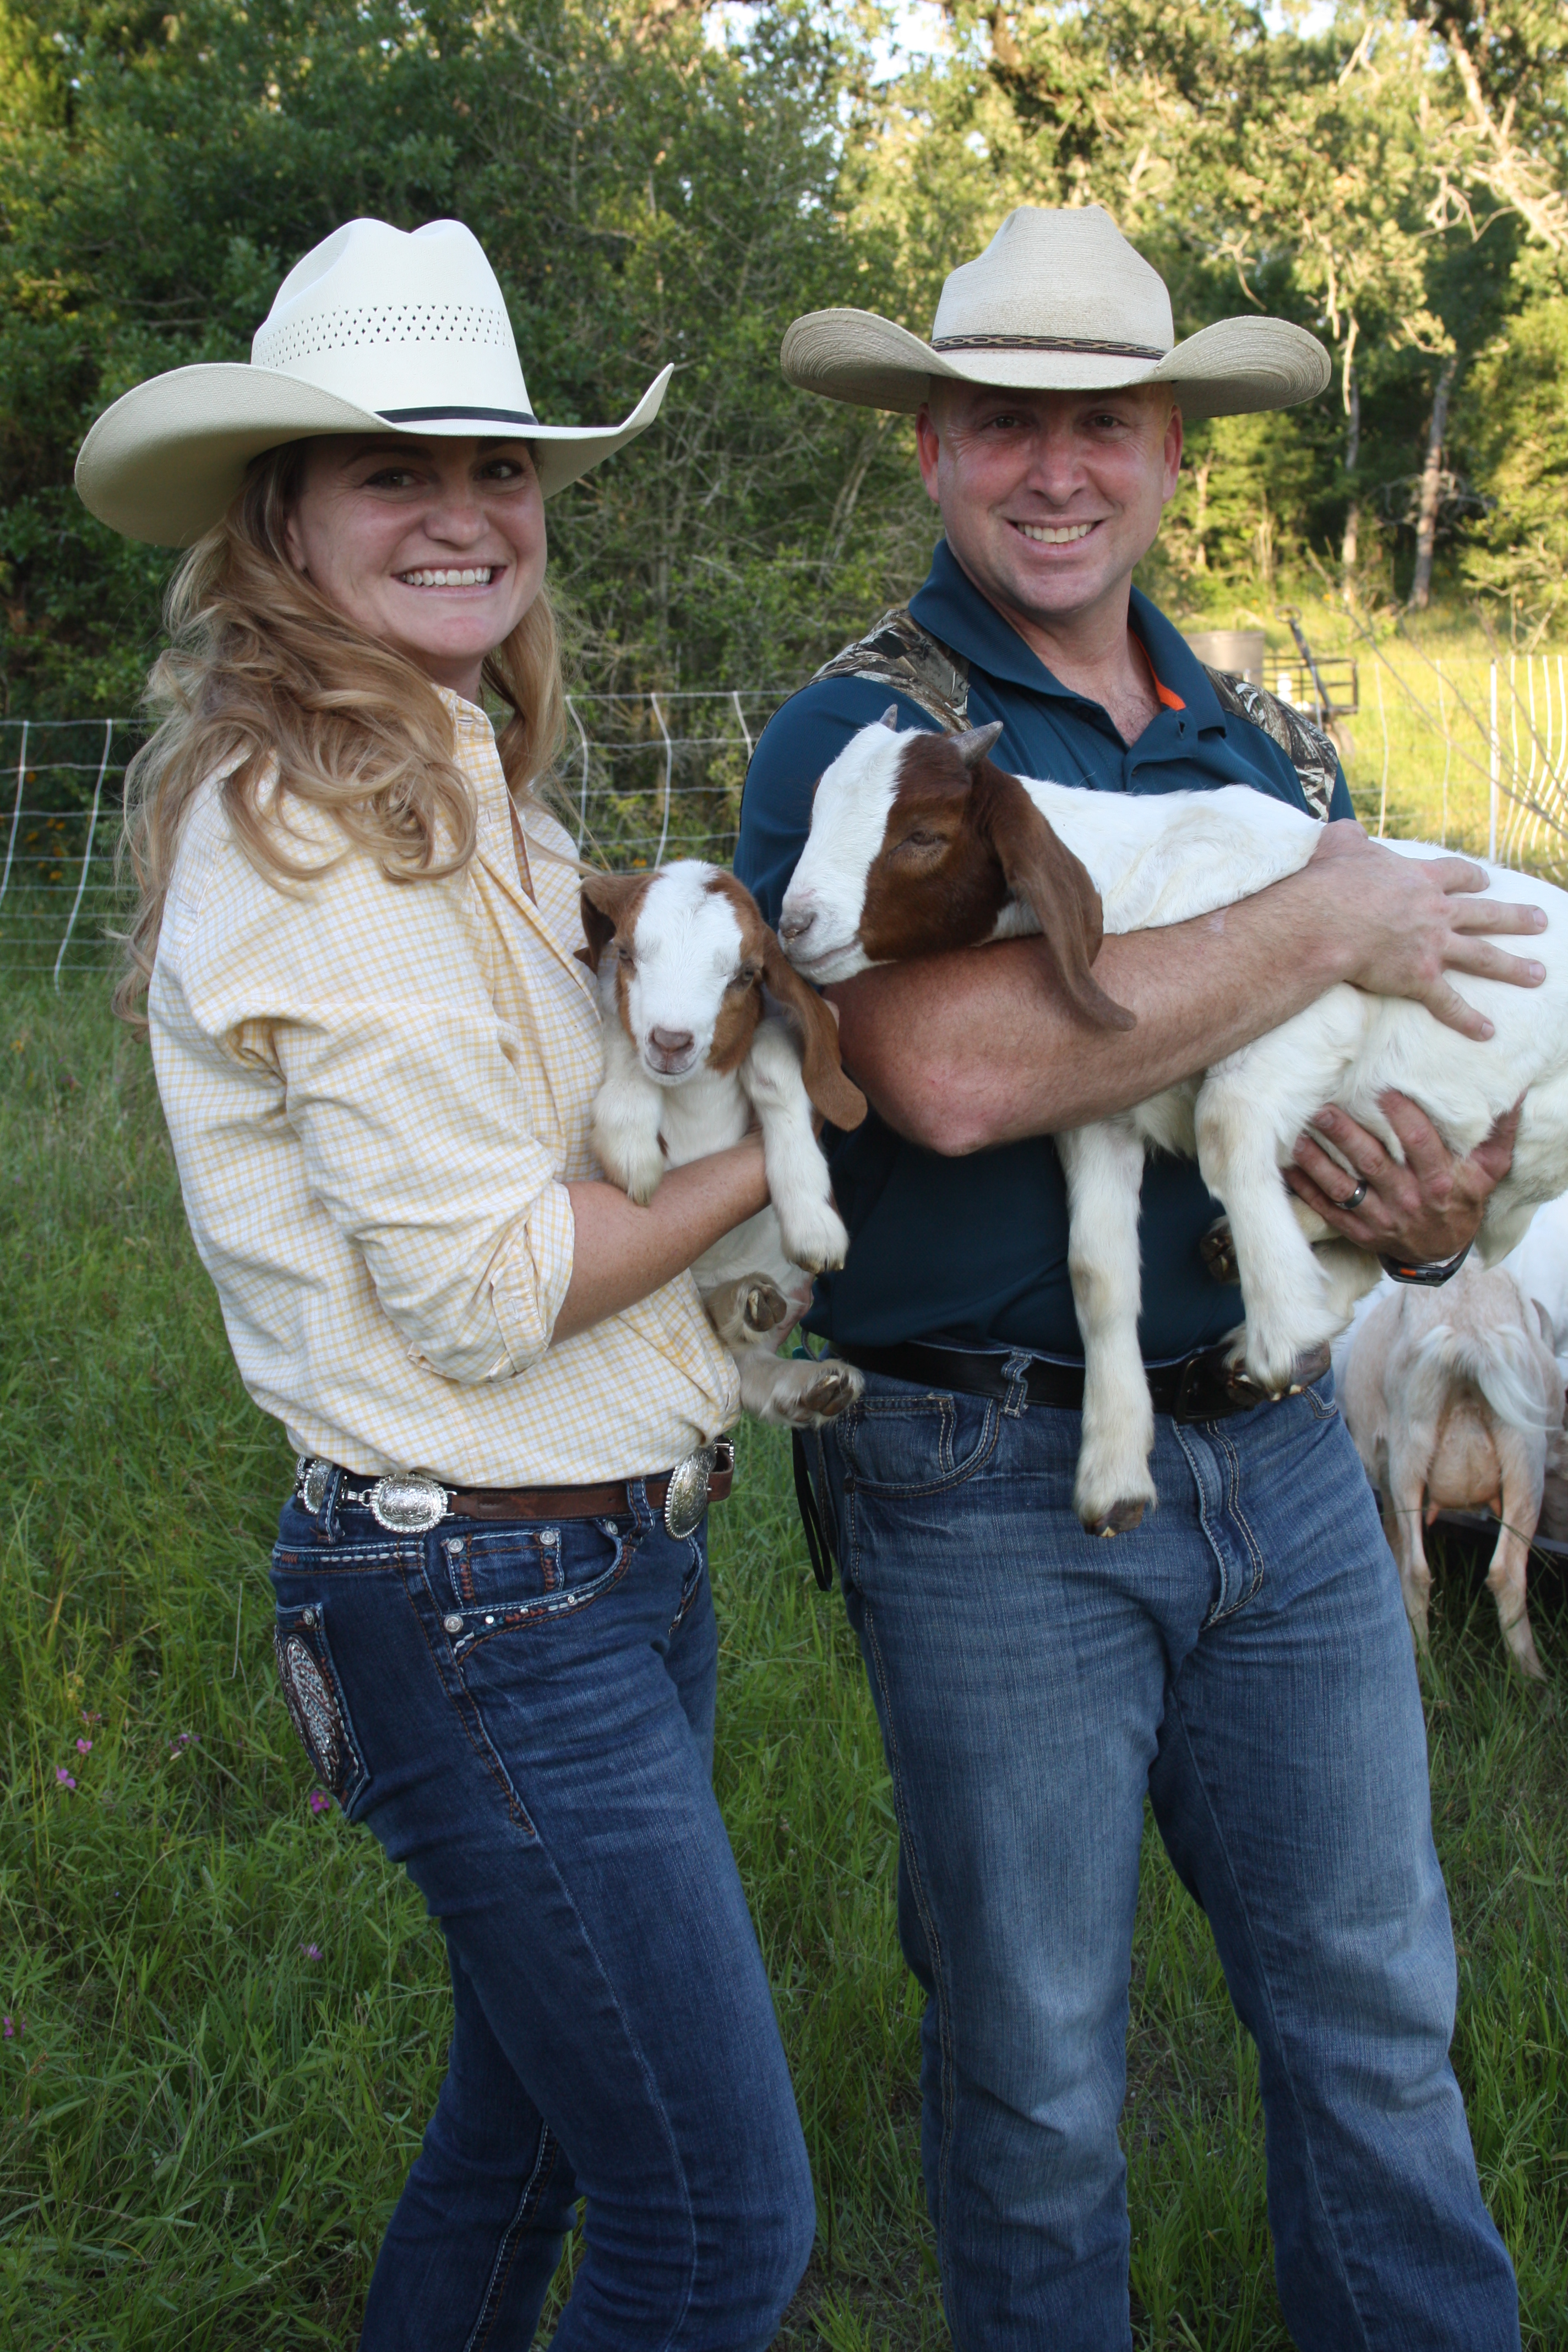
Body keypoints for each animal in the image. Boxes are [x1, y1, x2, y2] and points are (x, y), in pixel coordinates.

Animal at [580, 861, 865, 1420]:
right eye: (625, 953)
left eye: (746, 974)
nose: (671, 1042)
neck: (695, 1099)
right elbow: (622, 1032)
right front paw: (630, 1144)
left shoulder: (771, 1026)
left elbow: (771, 1064)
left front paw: (814, 1222)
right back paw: (751, 1310)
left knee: (748, 1368)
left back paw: (807, 1375)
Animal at [785, 705, 1568, 1533]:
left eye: (922, 835)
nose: (794, 923)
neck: (1143, 890)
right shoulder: (1100, 1113)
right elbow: (1096, 1271)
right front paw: (1114, 1477)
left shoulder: (1320, 1006)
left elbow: (1225, 1127)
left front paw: (1283, 1333)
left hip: (1521, 1135)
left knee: (1451, 1218)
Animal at [1335, 1270, 1568, 1674]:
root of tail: (1468, 1332)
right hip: (1518, 1454)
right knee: (1498, 1571)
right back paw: (1528, 1674)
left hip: (1419, 1452)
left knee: (1422, 1568)